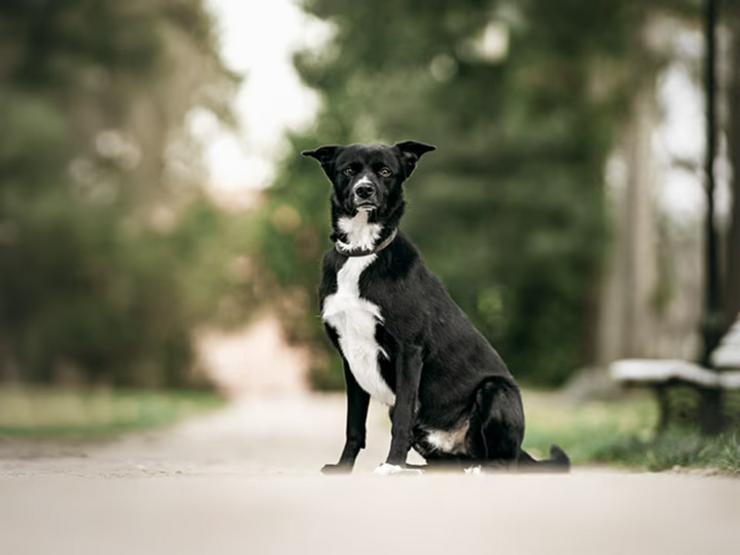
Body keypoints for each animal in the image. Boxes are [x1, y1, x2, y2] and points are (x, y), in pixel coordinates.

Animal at [304, 141, 568, 476]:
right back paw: (421, 469)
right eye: (349, 170)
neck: (362, 251)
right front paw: (343, 468)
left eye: (385, 171)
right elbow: (354, 426)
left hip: (496, 390)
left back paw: (475, 468)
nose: (365, 190)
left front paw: (392, 464)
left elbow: (402, 419)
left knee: (504, 463)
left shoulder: (408, 351)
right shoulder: (350, 359)